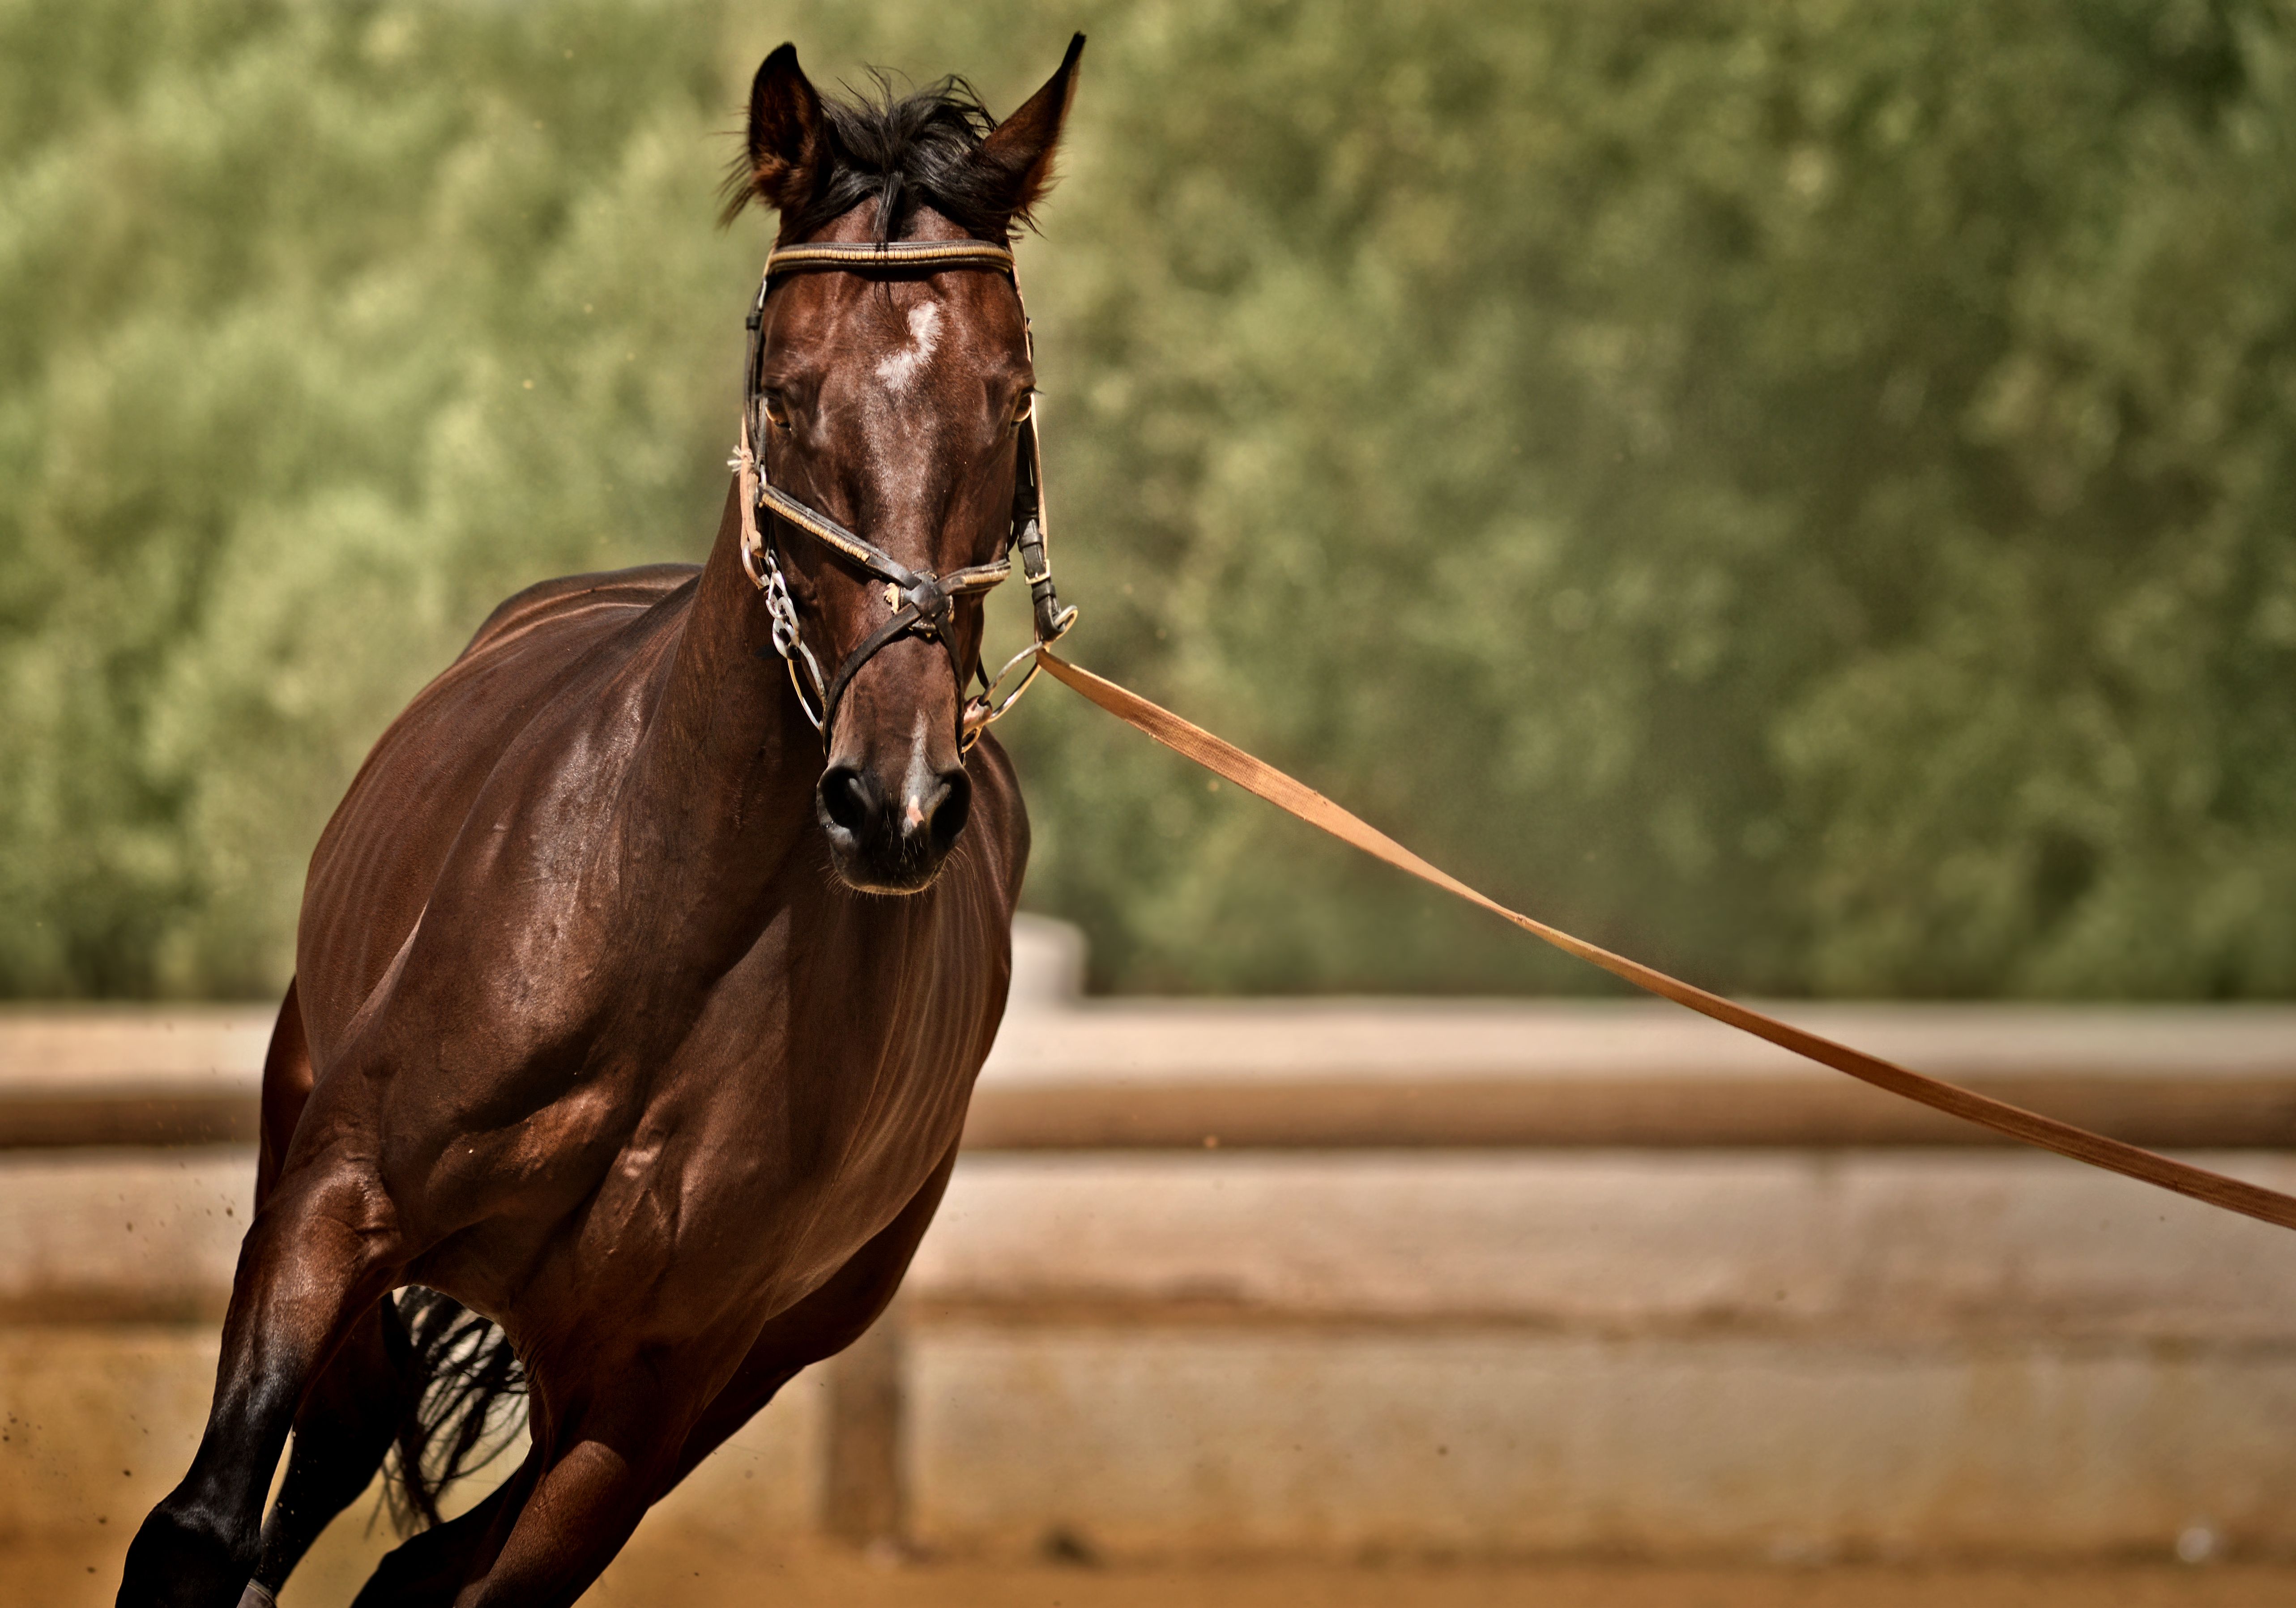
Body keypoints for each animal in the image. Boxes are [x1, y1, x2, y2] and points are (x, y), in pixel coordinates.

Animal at [119, 34, 1087, 1607]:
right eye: (789, 393)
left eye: (1007, 402)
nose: (893, 804)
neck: (661, 946)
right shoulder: (335, 1204)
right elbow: (199, 1529)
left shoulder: (651, 1392)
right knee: (327, 1461)